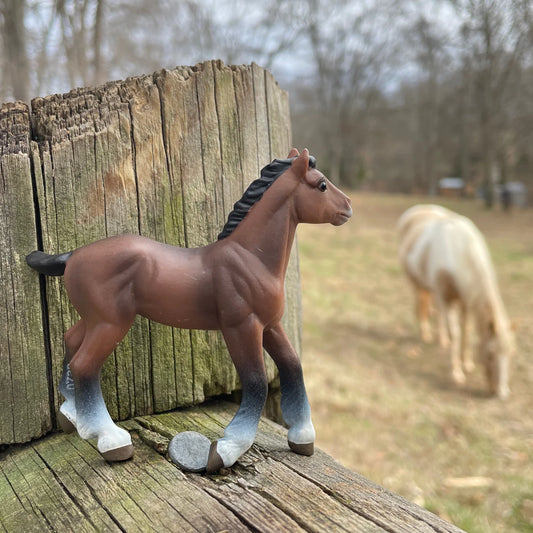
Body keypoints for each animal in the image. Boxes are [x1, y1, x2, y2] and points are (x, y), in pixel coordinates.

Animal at [28, 149, 354, 470]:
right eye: (321, 185)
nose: (348, 208)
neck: (251, 259)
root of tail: (73, 256)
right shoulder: (241, 327)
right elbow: (257, 380)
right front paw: (228, 449)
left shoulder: (270, 325)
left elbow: (292, 365)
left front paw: (302, 437)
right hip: (111, 323)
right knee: (85, 364)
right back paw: (112, 441)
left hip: (95, 320)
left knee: (71, 341)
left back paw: (73, 418)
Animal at [396, 206, 512, 396]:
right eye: (490, 354)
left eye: (510, 353)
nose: (500, 393)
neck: (461, 251)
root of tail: (416, 210)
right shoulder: (446, 297)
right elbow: (456, 333)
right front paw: (457, 373)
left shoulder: (465, 300)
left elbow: (466, 330)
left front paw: (468, 364)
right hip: (416, 282)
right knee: (421, 305)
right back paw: (426, 333)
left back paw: (441, 339)